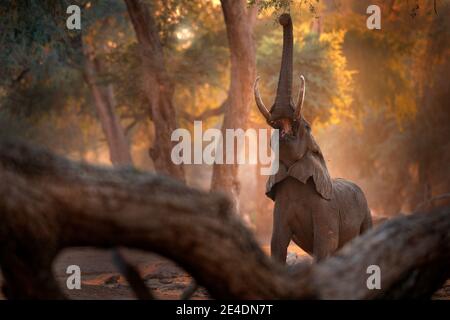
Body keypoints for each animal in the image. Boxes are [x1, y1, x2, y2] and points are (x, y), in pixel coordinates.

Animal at [253, 13, 372, 262]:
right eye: (274, 130)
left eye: (306, 126)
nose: (284, 17)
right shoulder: (280, 207)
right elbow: (277, 244)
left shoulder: (326, 209)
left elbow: (325, 244)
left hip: (367, 213)